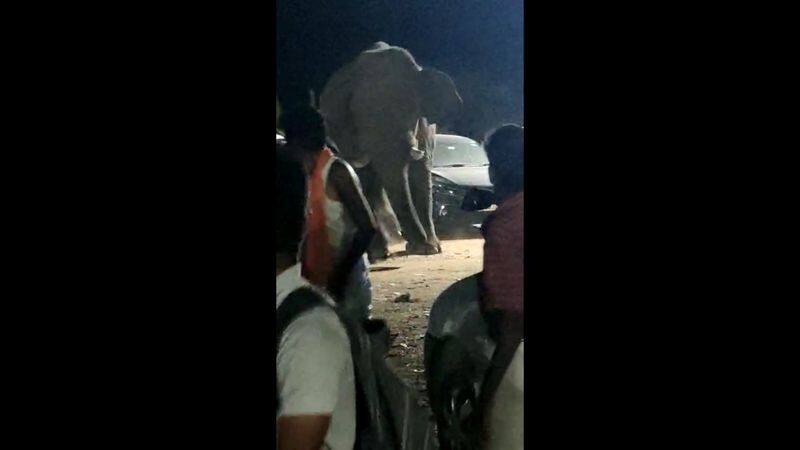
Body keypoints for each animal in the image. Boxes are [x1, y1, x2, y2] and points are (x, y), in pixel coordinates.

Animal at [318, 42, 462, 256]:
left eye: (410, 110)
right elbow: (364, 177)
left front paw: (430, 249)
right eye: (358, 115)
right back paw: (379, 251)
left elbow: (421, 173)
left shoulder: (425, 128)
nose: (419, 245)